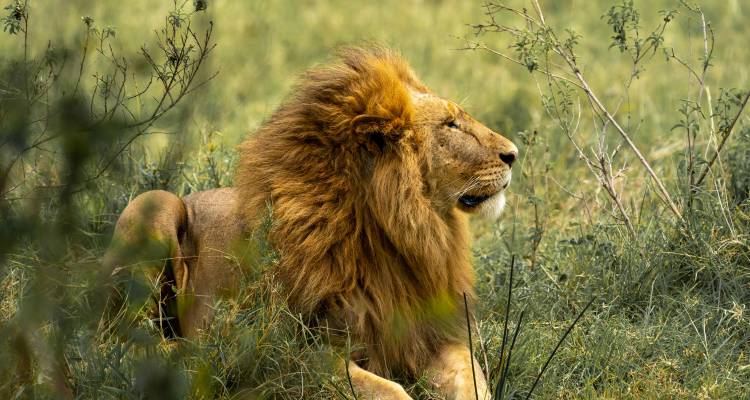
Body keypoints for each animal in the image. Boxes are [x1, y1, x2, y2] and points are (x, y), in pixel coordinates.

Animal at [104, 47, 517, 399]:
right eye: (451, 125)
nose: (514, 154)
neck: (397, 234)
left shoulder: (434, 336)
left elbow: (473, 382)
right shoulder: (295, 352)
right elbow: (390, 390)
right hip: (155, 203)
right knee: (119, 341)